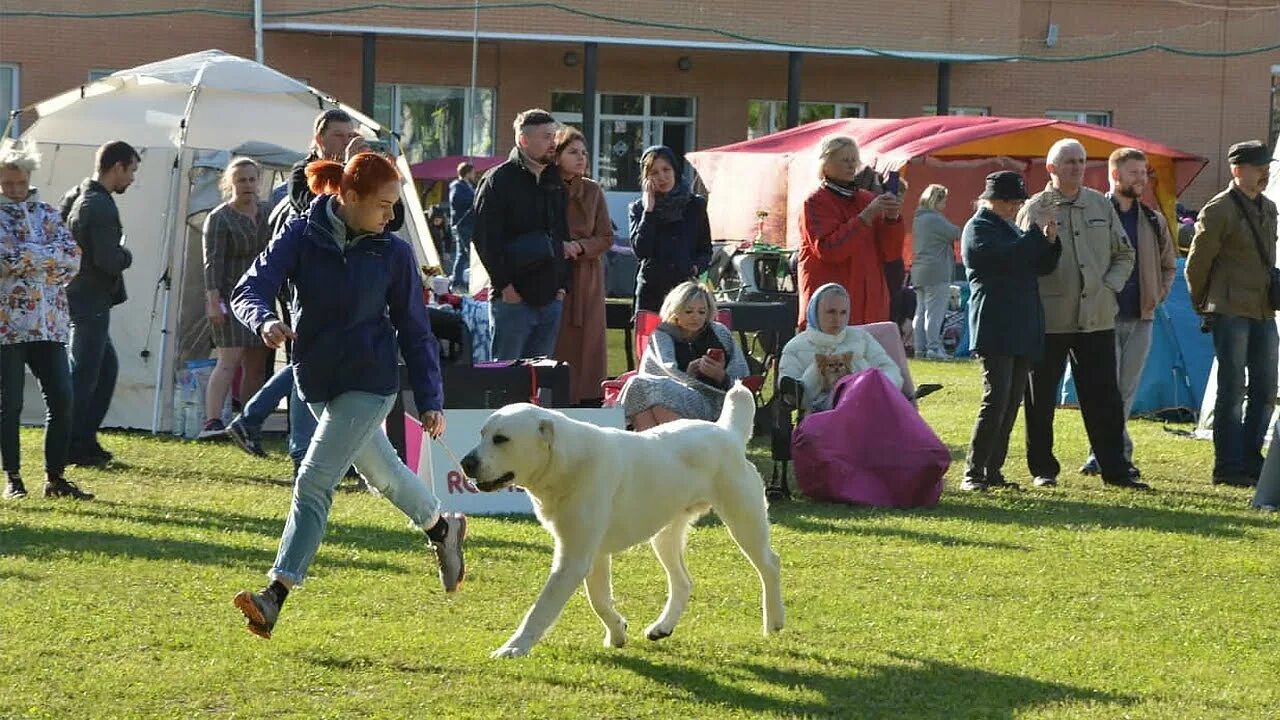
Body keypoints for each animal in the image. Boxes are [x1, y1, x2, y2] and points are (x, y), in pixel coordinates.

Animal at [460, 381, 778, 655]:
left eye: (501, 439)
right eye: (482, 434)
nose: (466, 463)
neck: (566, 464)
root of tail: (728, 432)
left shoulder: (573, 558)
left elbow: (542, 608)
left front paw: (514, 647)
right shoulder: (592, 554)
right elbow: (599, 599)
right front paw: (617, 633)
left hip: (743, 521)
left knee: (770, 564)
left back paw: (774, 623)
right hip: (664, 534)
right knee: (683, 582)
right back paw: (662, 627)